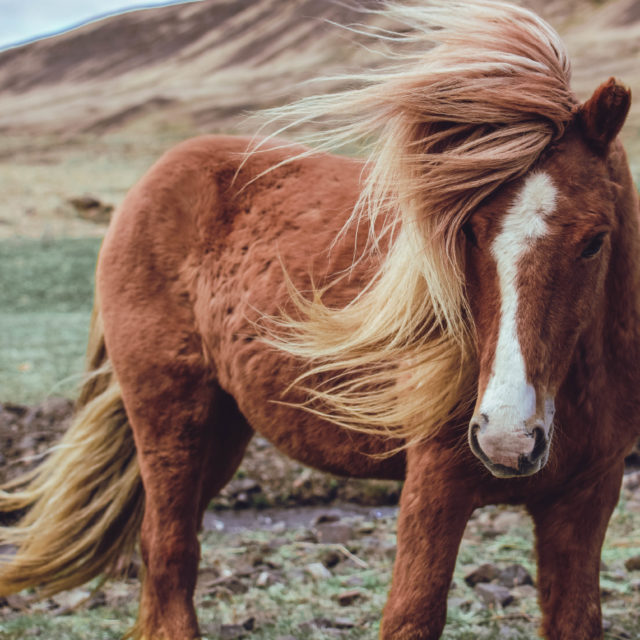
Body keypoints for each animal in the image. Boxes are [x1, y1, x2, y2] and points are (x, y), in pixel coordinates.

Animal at [1, 1, 640, 640]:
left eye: (594, 241)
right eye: (470, 233)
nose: (507, 438)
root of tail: (151, 184)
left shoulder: (584, 504)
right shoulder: (435, 487)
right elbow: (411, 615)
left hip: (222, 431)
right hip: (170, 419)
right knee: (168, 549)